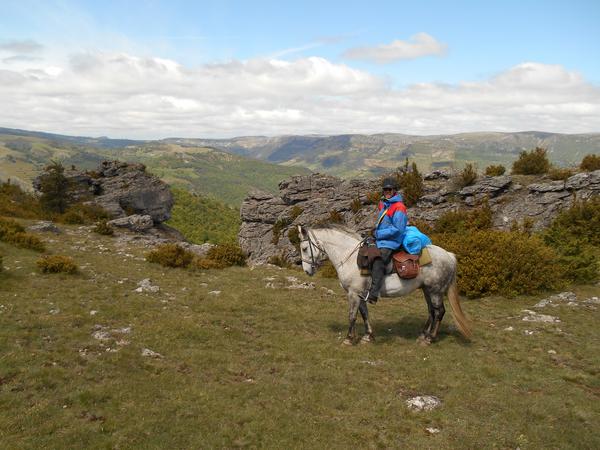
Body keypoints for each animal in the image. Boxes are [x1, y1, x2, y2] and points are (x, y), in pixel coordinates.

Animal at [298, 225, 472, 344]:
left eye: (305, 248)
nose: (307, 271)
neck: (350, 257)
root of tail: (448, 255)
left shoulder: (353, 293)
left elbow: (352, 315)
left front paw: (348, 339)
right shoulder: (360, 293)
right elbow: (364, 313)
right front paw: (368, 336)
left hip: (435, 291)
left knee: (439, 312)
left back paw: (430, 338)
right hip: (427, 290)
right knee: (431, 311)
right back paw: (423, 335)